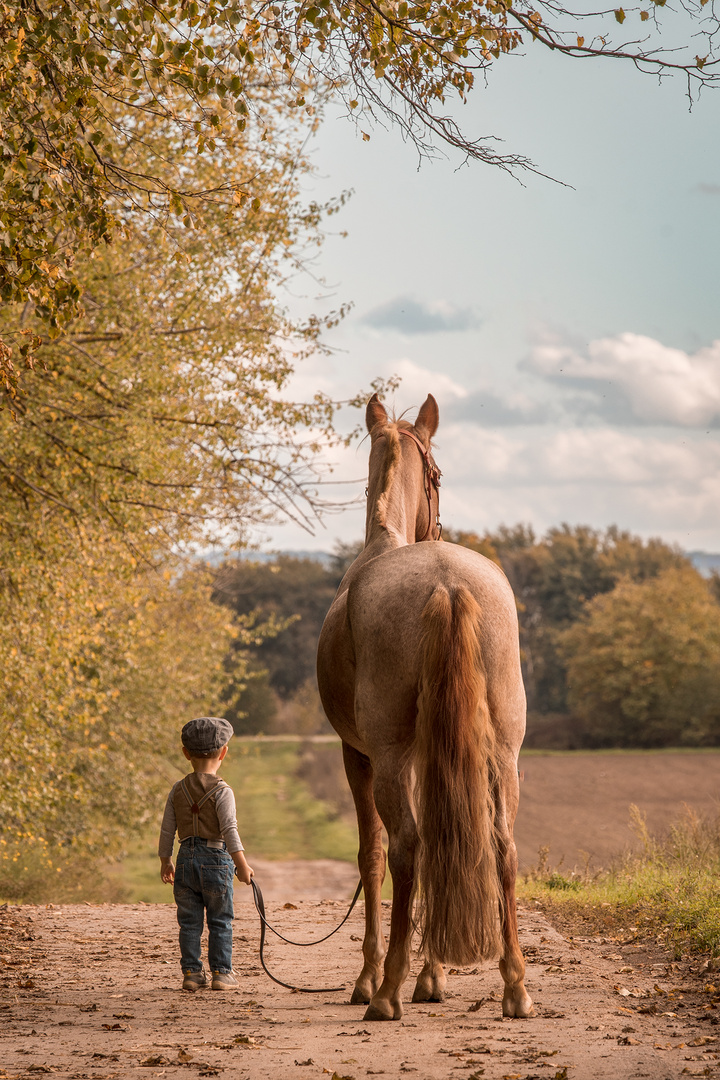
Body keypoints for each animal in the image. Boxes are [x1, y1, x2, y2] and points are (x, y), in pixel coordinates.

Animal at [317, 395, 535, 1019]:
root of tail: (448, 583)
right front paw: (433, 977)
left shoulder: (360, 756)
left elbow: (370, 855)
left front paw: (372, 977)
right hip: (502, 753)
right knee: (499, 844)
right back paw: (515, 986)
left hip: (389, 758)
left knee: (407, 848)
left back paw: (385, 991)